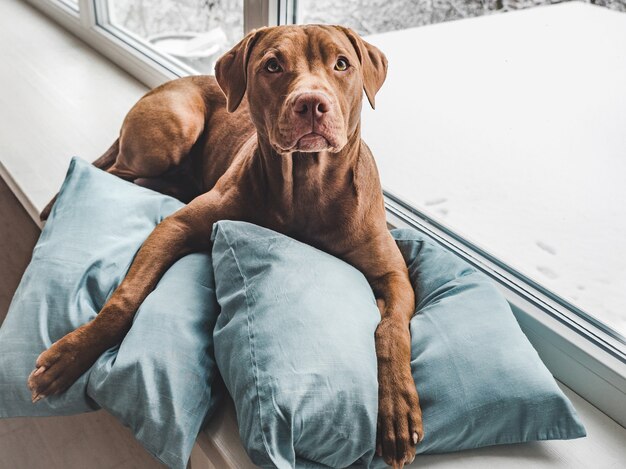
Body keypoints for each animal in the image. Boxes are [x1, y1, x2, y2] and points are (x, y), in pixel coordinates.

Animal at [30, 26, 420, 468]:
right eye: (273, 65)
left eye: (342, 64)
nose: (311, 104)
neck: (307, 186)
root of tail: (172, 81)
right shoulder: (177, 227)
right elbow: (124, 299)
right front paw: (71, 355)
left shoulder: (394, 274)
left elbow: (392, 330)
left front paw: (397, 409)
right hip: (177, 128)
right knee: (116, 172)